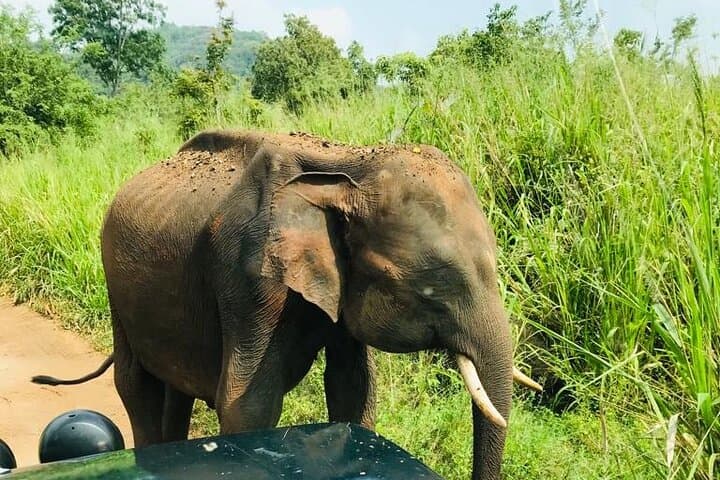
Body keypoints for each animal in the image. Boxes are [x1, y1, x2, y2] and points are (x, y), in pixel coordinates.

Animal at [33, 130, 541, 480]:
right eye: (428, 285)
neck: (345, 165)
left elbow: (352, 386)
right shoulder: (247, 270)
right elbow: (248, 402)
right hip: (115, 285)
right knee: (135, 383)